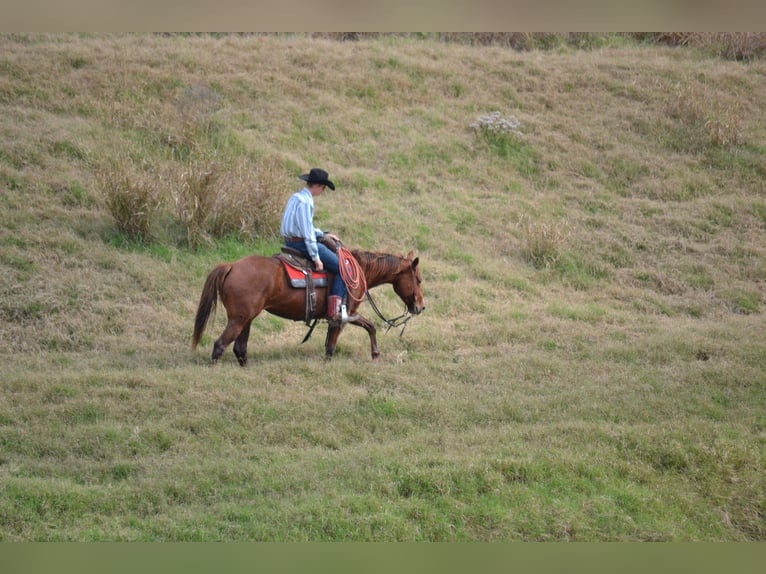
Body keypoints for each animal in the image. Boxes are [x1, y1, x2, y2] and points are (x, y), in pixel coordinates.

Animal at [191, 245, 424, 364]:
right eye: (419, 280)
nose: (421, 307)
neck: (358, 269)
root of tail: (231, 266)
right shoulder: (345, 315)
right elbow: (365, 328)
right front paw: (374, 353)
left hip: (246, 319)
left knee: (240, 348)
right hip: (238, 320)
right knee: (220, 345)